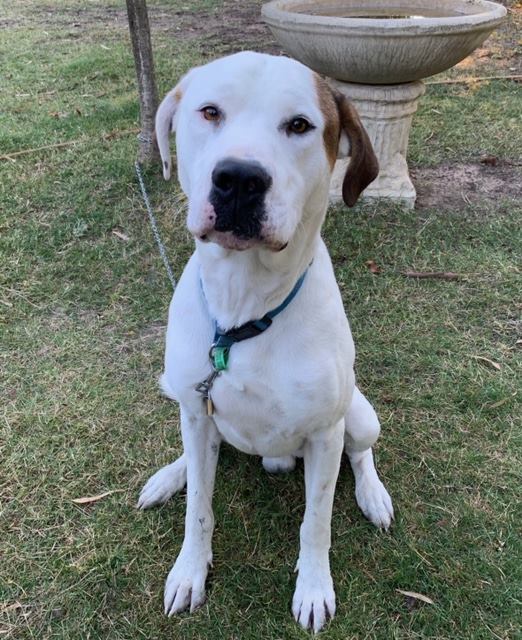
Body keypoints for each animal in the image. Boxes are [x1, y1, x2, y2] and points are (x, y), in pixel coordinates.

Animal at [138, 51, 393, 633]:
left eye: (299, 125)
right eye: (210, 111)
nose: (238, 179)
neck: (243, 310)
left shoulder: (325, 434)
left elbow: (316, 521)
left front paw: (314, 588)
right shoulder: (197, 407)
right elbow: (200, 508)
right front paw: (190, 570)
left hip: (360, 414)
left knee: (362, 451)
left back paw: (372, 494)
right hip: (201, 418)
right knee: (196, 457)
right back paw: (169, 476)